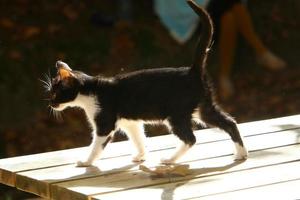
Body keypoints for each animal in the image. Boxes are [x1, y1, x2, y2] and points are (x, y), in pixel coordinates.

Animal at [43, 0, 247, 166]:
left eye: (55, 93)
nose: (50, 104)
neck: (91, 90)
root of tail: (192, 70)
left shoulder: (105, 124)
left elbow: (97, 146)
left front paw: (86, 162)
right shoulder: (130, 123)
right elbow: (139, 138)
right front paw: (141, 156)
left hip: (176, 114)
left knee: (191, 138)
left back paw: (170, 159)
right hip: (202, 108)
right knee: (229, 122)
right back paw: (242, 153)